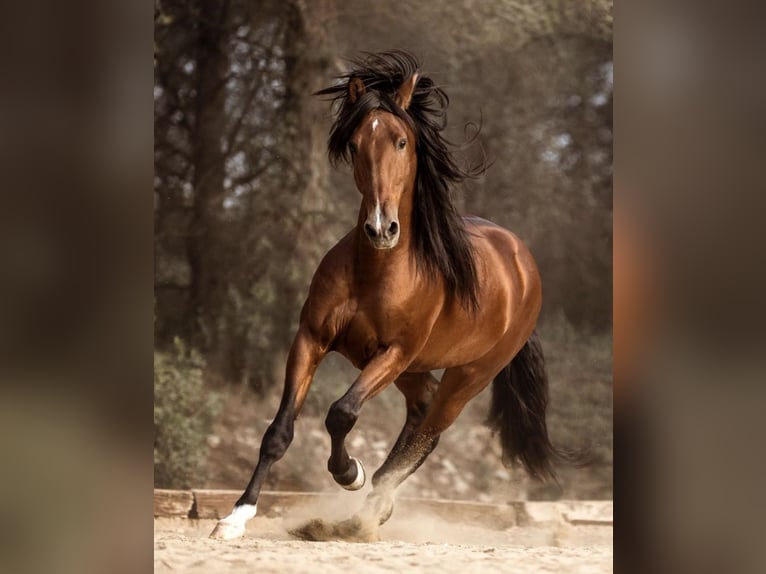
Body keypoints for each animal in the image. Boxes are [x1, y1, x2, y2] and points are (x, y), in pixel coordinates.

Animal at [211, 51, 566, 540]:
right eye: (357, 144)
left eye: (401, 142)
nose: (382, 228)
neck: (375, 272)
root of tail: (522, 263)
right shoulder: (311, 340)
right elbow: (279, 431)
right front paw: (235, 517)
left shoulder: (393, 352)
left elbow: (341, 413)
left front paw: (349, 473)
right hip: (414, 371)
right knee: (419, 416)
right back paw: (364, 512)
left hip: (466, 376)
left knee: (429, 433)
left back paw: (366, 509)